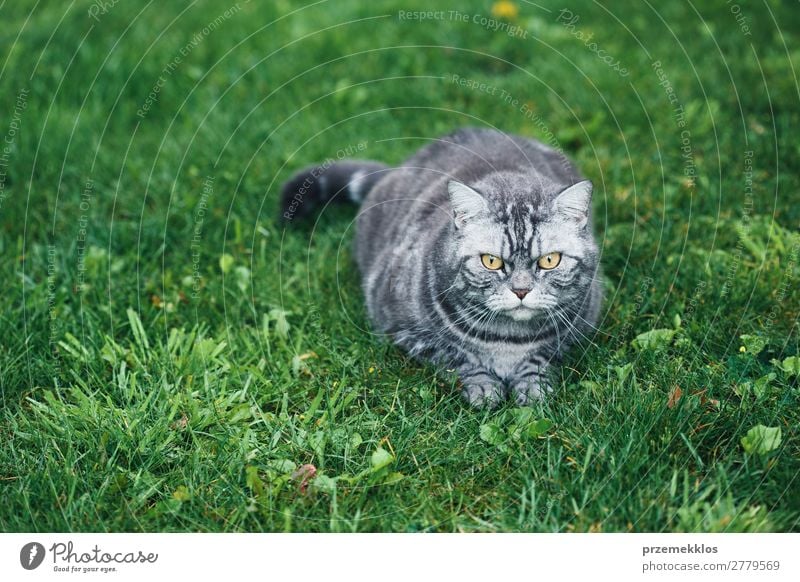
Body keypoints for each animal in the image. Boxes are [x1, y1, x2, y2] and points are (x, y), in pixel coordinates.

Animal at [282, 129, 600, 408]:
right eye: (491, 261)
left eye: (549, 260)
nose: (521, 290)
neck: (508, 340)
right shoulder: (404, 330)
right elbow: (457, 356)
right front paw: (484, 386)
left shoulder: (579, 329)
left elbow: (542, 356)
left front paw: (532, 386)